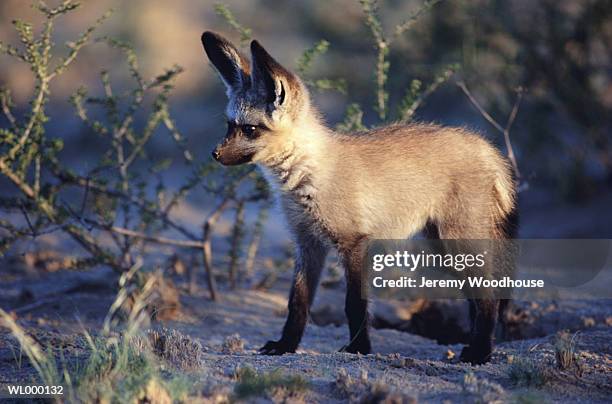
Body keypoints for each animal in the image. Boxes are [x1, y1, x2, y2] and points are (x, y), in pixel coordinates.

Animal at [201, 31, 516, 364]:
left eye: (250, 129)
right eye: (229, 125)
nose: (215, 154)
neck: (308, 176)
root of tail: (484, 145)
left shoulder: (353, 243)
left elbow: (354, 304)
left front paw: (359, 348)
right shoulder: (307, 244)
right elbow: (297, 304)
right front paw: (286, 345)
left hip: (455, 242)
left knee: (489, 297)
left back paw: (480, 351)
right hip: (441, 247)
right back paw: (475, 345)